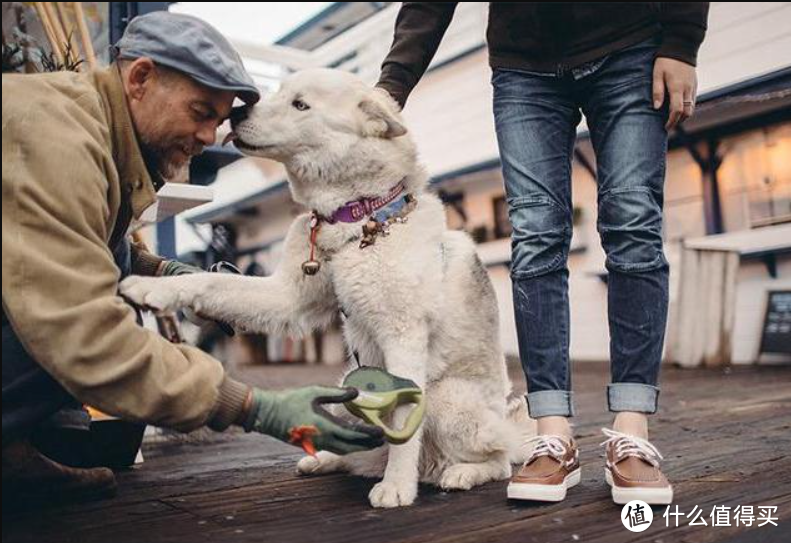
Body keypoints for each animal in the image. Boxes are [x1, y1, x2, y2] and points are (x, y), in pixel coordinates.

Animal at [120, 69, 536, 510]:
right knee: (374, 450)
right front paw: (153, 286)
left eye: (300, 104)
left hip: (446, 398)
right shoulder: (287, 297)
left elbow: (404, 424)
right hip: (350, 381)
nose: (236, 113)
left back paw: (460, 473)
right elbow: (211, 280)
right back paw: (330, 459)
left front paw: (397, 487)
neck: (357, 218)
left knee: (500, 458)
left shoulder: (403, 334)